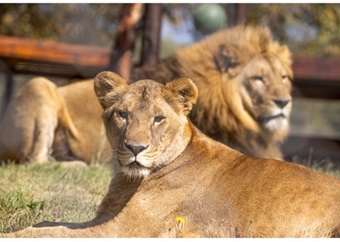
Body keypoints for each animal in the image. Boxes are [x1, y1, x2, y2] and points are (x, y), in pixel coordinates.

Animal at [1, 72, 338, 238]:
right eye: (122, 114)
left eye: (158, 119)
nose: (136, 148)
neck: (128, 180)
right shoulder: (106, 219)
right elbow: (49, 225)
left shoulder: (124, 230)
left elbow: (52, 232)